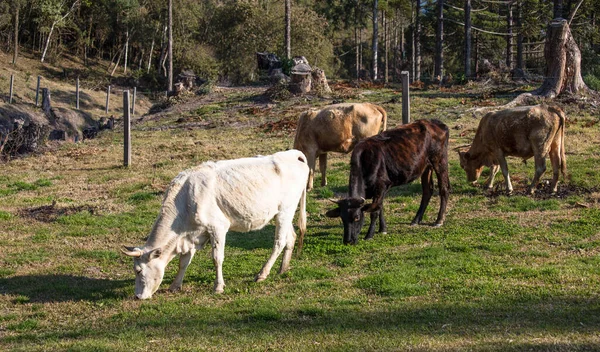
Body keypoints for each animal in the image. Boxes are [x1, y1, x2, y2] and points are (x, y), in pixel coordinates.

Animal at [122, 150, 310, 298]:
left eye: (138, 270)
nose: (137, 296)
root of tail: (294, 154)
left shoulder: (217, 227)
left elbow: (217, 258)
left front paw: (218, 287)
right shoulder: (193, 234)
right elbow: (184, 261)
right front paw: (175, 285)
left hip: (285, 210)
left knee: (279, 242)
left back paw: (262, 274)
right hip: (283, 212)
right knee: (291, 237)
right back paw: (283, 269)